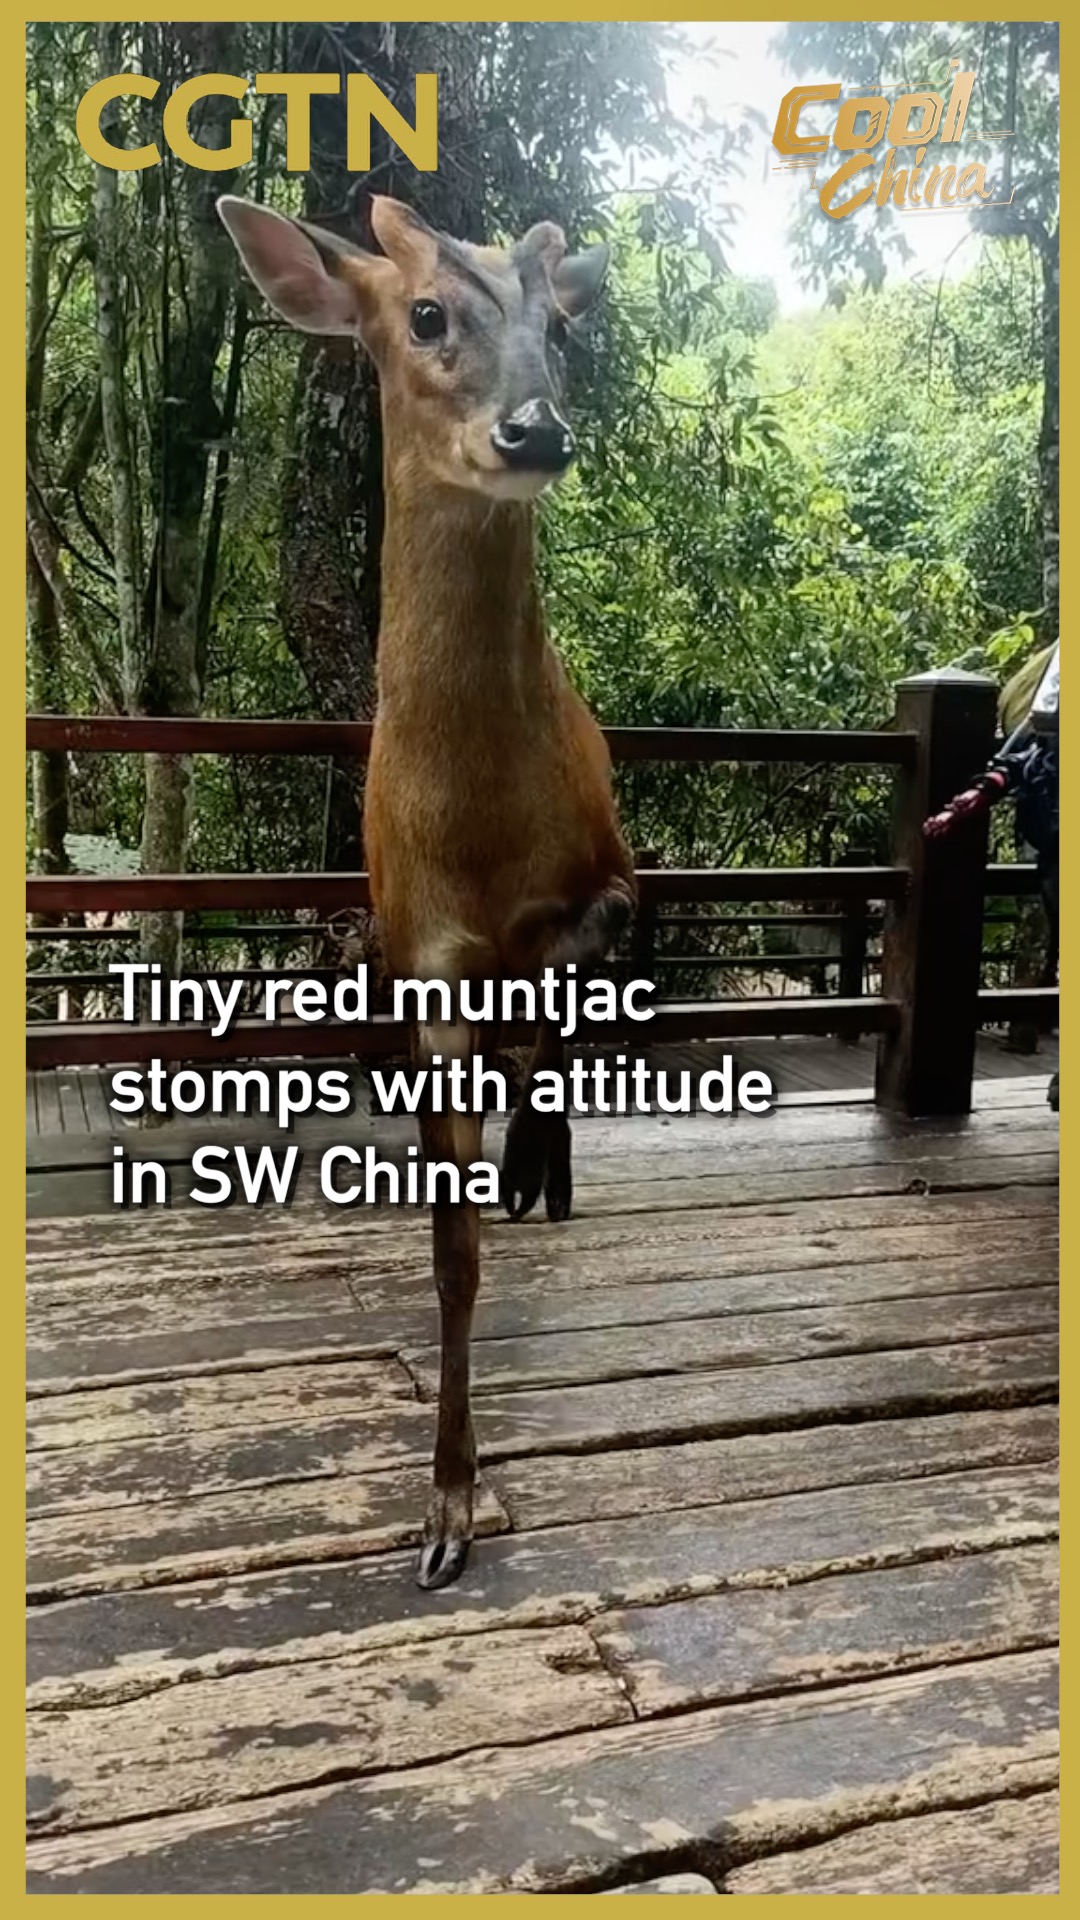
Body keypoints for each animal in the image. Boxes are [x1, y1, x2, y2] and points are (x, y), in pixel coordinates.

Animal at [218, 190, 635, 1589]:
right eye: (428, 313)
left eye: (560, 323)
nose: (535, 428)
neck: (478, 831)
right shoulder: (423, 959)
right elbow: (449, 1254)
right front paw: (448, 1507)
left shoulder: (610, 876)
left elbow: (584, 967)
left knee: (561, 1039)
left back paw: (542, 1165)